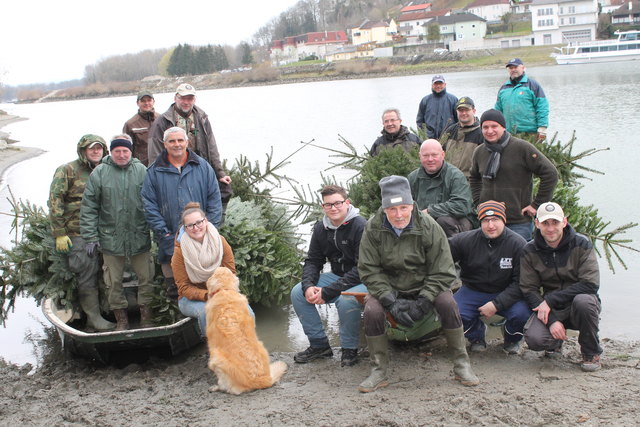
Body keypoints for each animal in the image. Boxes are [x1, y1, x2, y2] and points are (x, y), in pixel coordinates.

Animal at [205, 266, 288, 396]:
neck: (225, 289)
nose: (220, 266)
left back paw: (215, 387)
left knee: (226, 387)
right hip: (262, 346)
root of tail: (265, 380)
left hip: (216, 358)